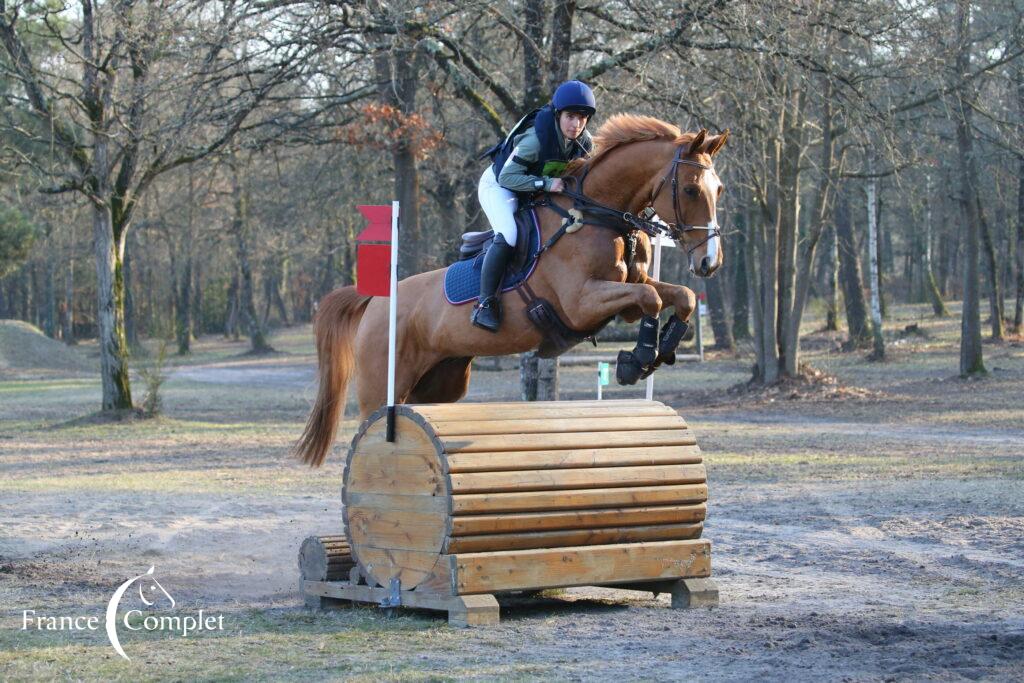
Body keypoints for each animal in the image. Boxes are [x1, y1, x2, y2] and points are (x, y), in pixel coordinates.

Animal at [296, 116, 729, 471]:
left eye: (719, 189)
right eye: (691, 190)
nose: (710, 262)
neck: (597, 215)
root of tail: (375, 301)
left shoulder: (627, 293)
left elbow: (682, 297)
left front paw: (662, 349)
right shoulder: (581, 303)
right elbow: (652, 300)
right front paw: (635, 361)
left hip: (440, 383)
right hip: (381, 384)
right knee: (370, 428)